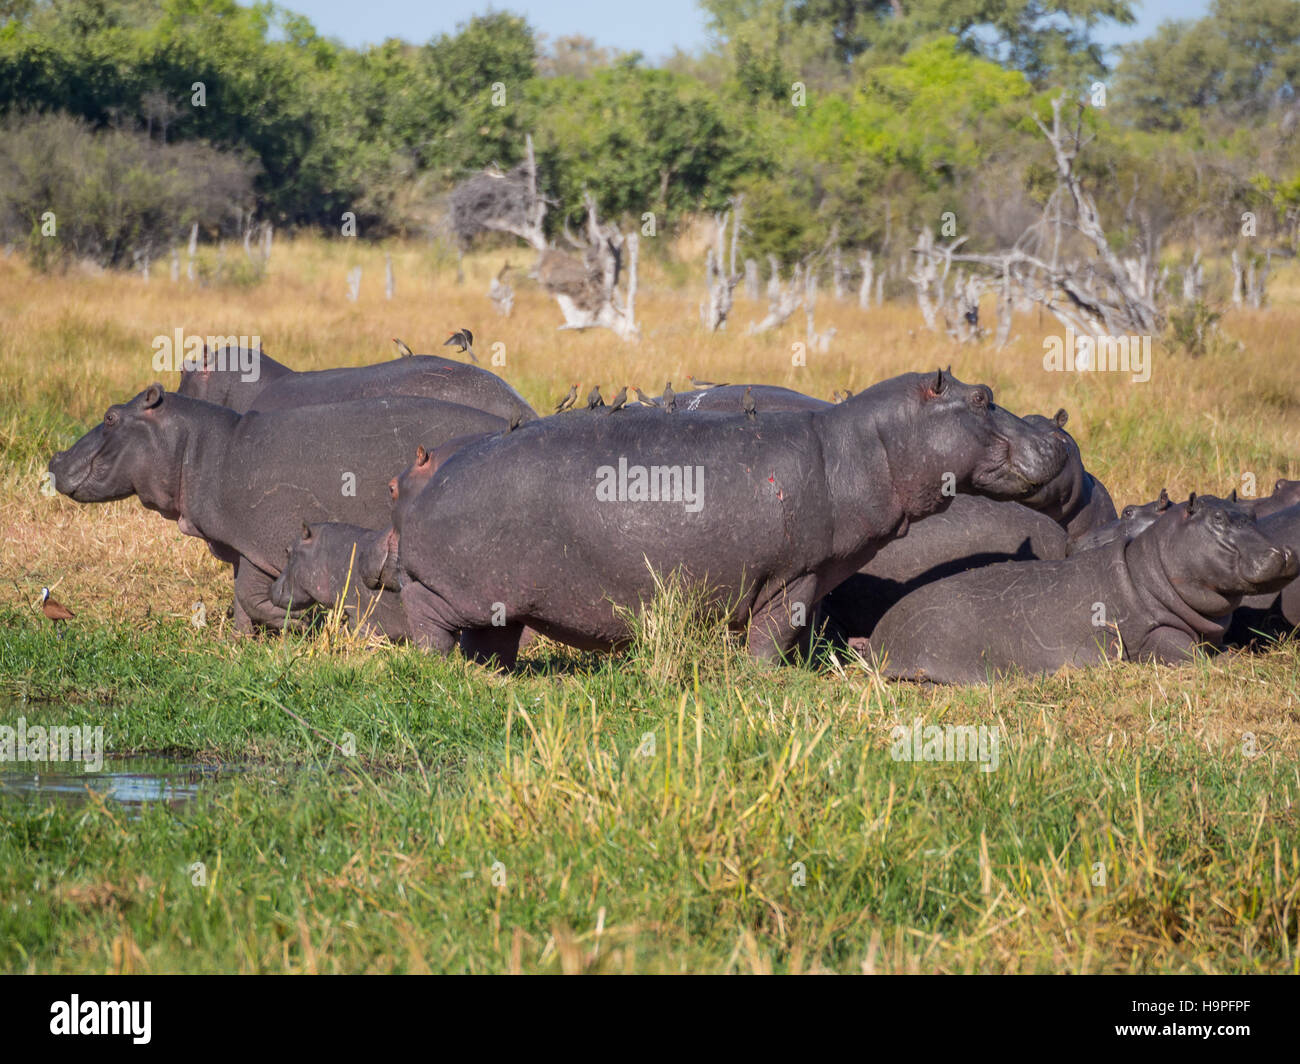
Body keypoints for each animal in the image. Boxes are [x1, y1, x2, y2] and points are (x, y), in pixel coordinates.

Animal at [395, 366, 1066, 663]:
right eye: (982, 397)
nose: (1057, 437)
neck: (865, 445)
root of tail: (421, 470)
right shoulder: (796, 574)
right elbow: (777, 632)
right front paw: (773, 678)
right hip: (456, 589)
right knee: (424, 611)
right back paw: (438, 665)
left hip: (503, 598)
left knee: (495, 639)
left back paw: (495, 675)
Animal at [857, 494, 1294, 681]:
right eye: (1218, 519)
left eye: (1252, 514)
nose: (1285, 551)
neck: (1149, 570)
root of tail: (878, 639)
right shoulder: (1152, 632)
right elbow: (1186, 652)